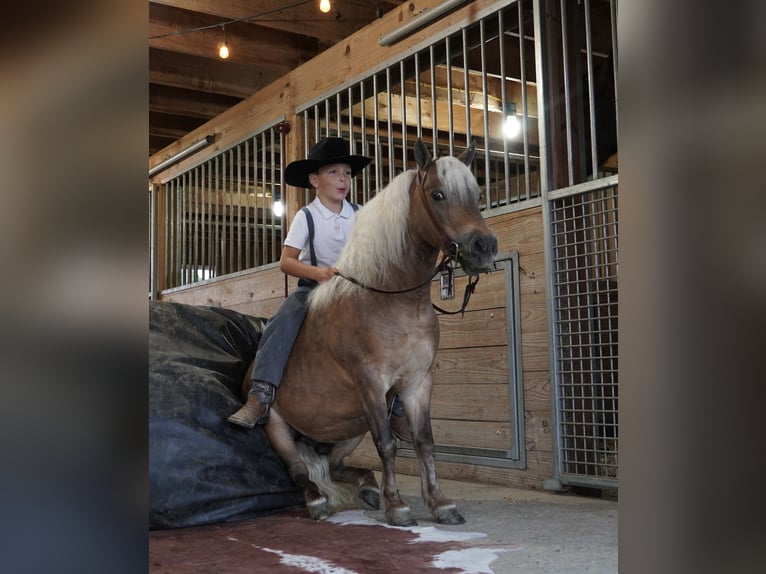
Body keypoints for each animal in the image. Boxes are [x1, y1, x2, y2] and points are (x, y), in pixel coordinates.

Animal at [263, 138, 497, 527]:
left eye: (477, 194)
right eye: (437, 194)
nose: (485, 248)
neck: (392, 300)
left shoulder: (418, 383)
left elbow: (424, 442)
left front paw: (439, 503)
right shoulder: (371, 382)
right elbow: (387, 444)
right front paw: (397, 506)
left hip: (347, 431)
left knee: (333, 465)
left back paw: (368, 488)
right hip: (279, 429)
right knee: (299, 473)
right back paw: (318, 501)